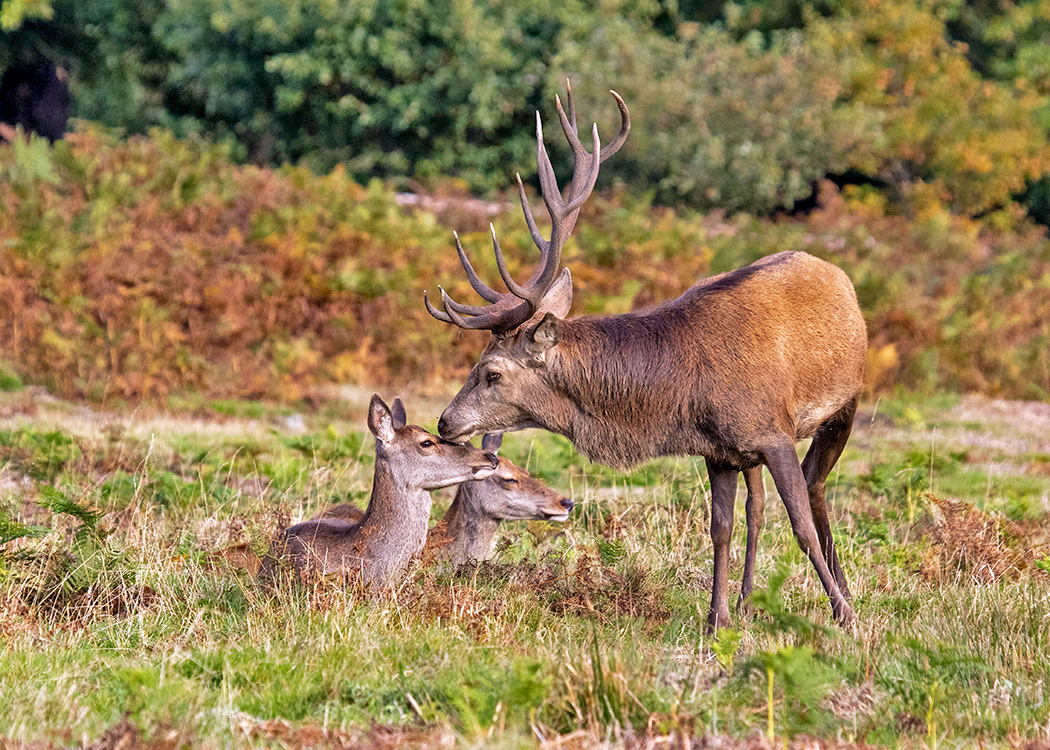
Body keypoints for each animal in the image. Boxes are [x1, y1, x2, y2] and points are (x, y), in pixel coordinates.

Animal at [424, 82, 867, 630]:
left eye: (491, 373)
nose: (445, 421)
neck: (684, 397)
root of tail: (835, 272)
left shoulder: (774, 432)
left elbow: (800, 524)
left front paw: (844, 616)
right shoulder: (719, 450)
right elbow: (720, 528)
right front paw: (717, 619)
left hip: (845, 403)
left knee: (816, 486)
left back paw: (842, 592)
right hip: (752, 452)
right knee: (758, 508)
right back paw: (748, 600)